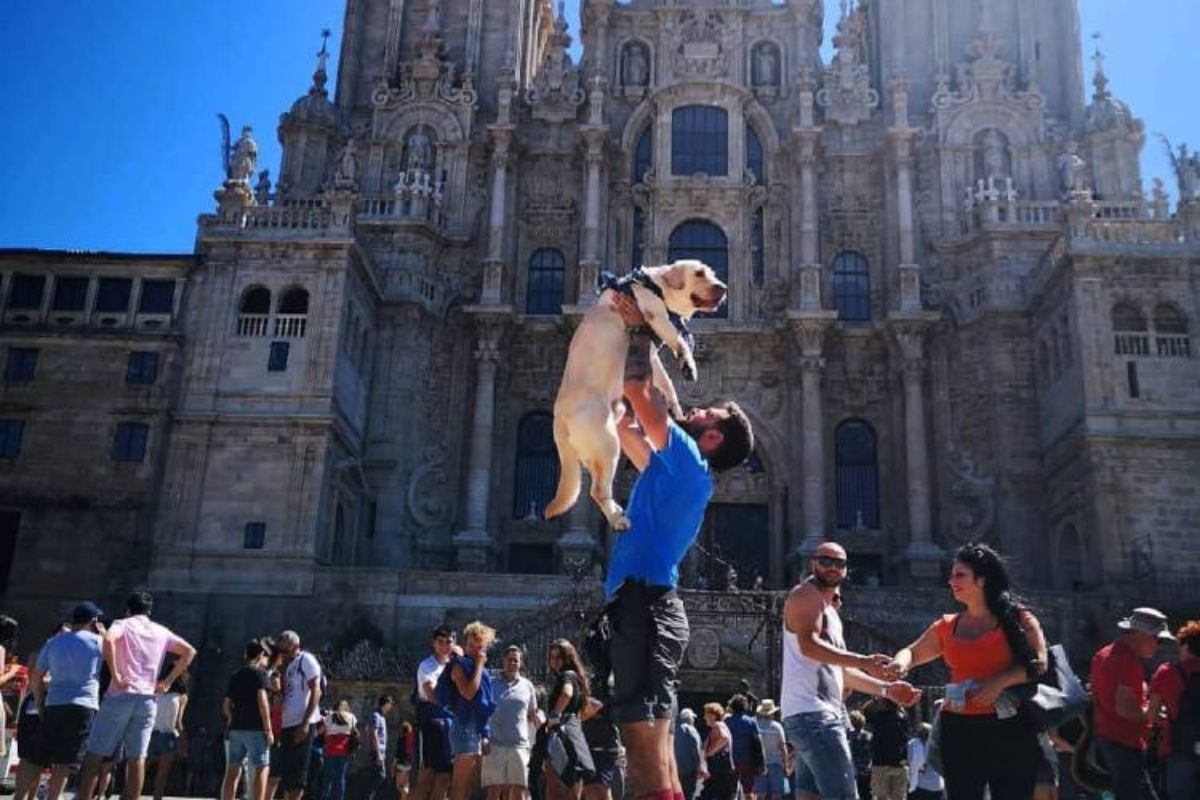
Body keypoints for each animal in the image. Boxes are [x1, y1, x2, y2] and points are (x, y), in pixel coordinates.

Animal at [547, 260, 729, 527]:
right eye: (699, 273)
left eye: (713, 273)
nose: (723, 287)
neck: (655, 285)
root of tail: (558, 418)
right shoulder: (655, 315)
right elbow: (679, 340)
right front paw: (688, 364)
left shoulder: (652, 356)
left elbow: (667, 382)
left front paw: (675, 407)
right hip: (607, 443)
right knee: (597, 490)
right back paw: (618, 520)